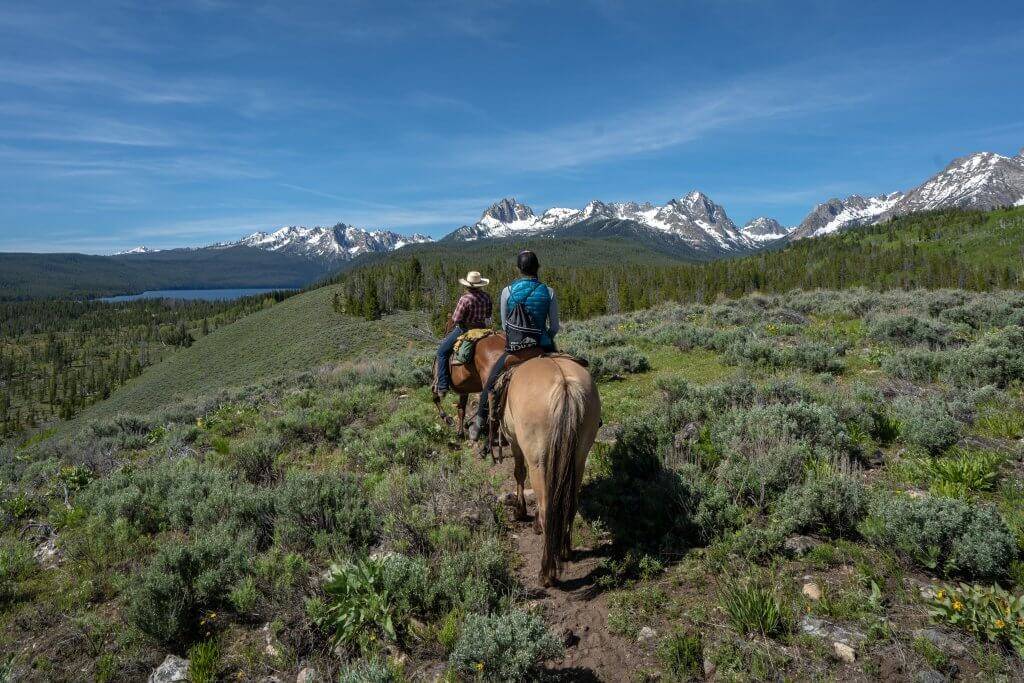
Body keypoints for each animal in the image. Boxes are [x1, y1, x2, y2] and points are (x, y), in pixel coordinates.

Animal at [501, 356, 598, 585]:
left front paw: (521, 511)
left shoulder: (514, 441)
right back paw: (564, 551)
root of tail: (564, 385)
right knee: (570, 504)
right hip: (578, 459)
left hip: (539, 462)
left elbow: (519, 473)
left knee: (548, 509)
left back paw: (547, 574)